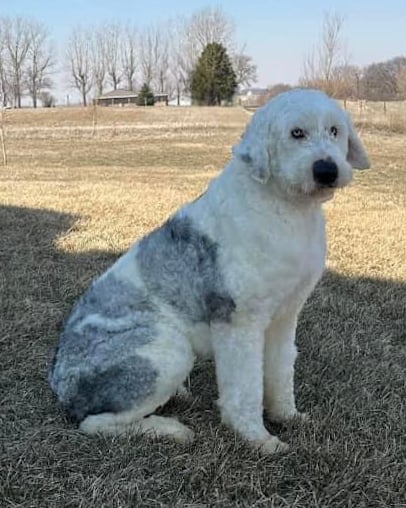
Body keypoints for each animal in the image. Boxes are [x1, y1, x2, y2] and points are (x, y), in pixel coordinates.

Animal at [49, 89, 370, 454]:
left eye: (334, 130)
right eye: (296, 133)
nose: (326, 169)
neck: (284, 207)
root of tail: (60, 385)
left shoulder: (285, 315)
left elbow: (281, 369)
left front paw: (287, 416)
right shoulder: (239, 321)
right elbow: (245, 385)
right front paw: (257, 437)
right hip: (165, 351)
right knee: (96, 423)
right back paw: (169, 429)